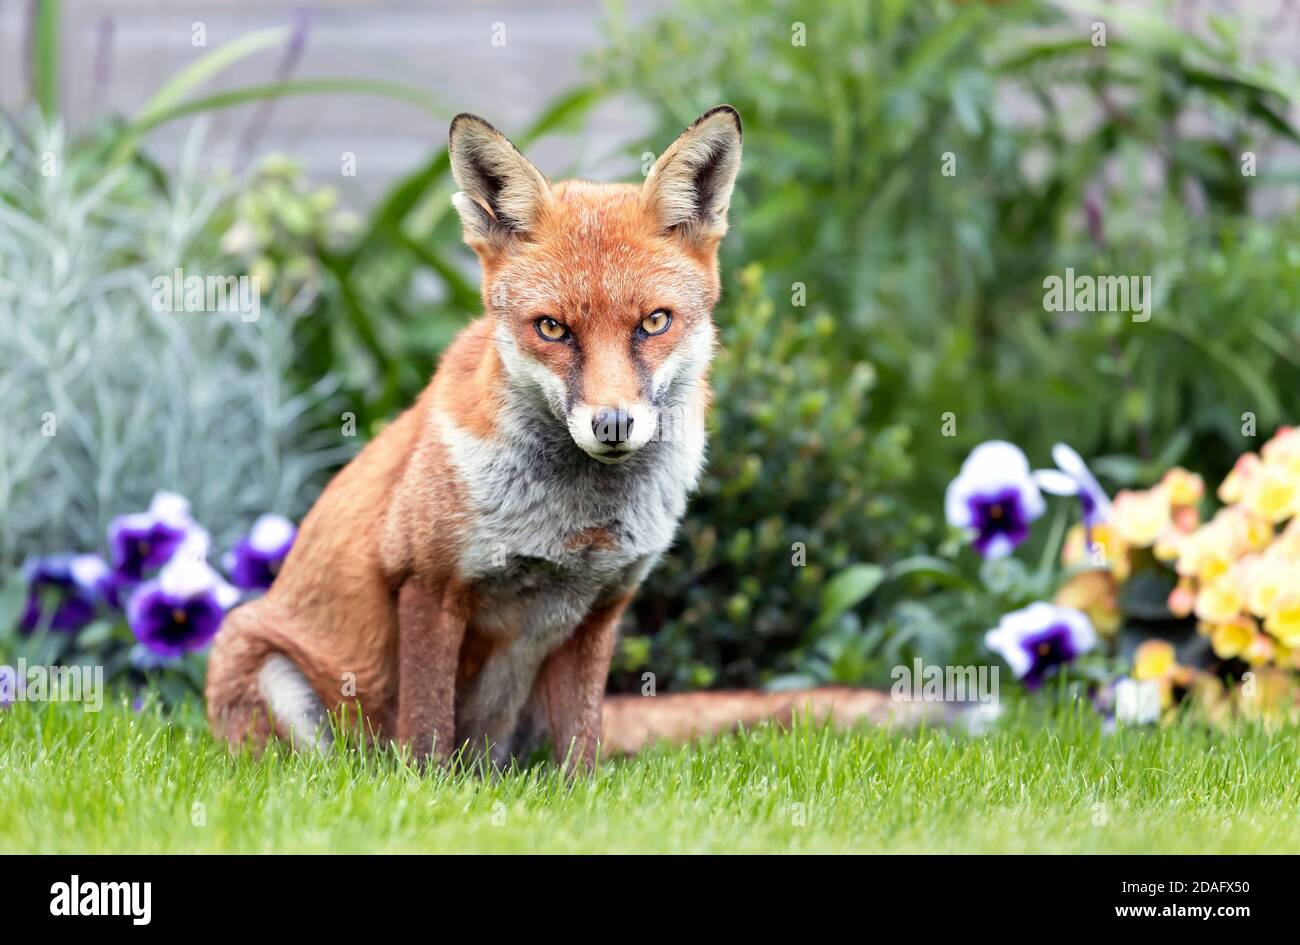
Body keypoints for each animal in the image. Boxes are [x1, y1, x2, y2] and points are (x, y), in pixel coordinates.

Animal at [205, 106, 905, 770]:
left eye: (655, 322)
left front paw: (582, 796)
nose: (612, 423)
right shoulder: (426, 583)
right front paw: (422, 795)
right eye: (552, 328)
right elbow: (426, 738)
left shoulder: (601, 607)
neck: (575, 524)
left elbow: (582, 752)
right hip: (267, 670)